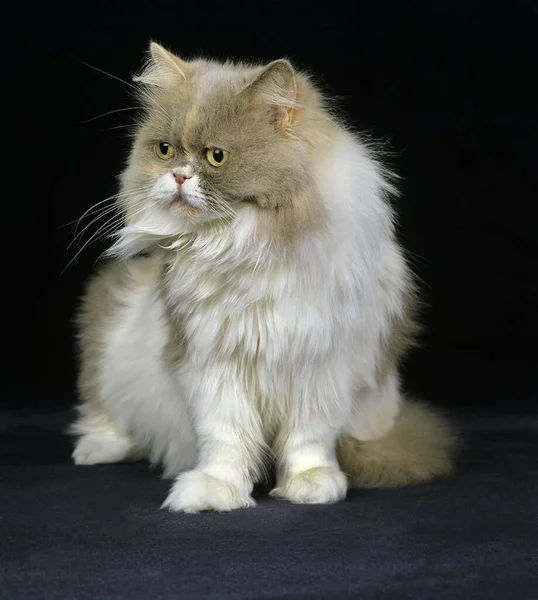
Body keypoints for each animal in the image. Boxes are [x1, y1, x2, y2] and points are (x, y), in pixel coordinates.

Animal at [70, 42, 456, 512]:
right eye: (164, 150)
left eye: (216, 156)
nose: (178, 176)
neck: (248, 247)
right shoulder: (211, 364)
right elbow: (225, 439)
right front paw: (212, 493)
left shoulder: (319, 365)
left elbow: (308, 439)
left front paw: (311, 485)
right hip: (109, 334)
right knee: (107, 414)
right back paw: (95, 451)